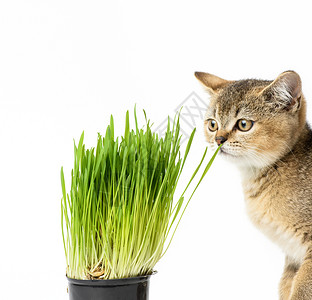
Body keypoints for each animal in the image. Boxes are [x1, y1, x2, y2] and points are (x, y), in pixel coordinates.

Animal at [196, 71, 312, 300]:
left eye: (243, 124)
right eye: (212, 124)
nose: (218, 139)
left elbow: (300, 291)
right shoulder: (292, 256)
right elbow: (285, 287)